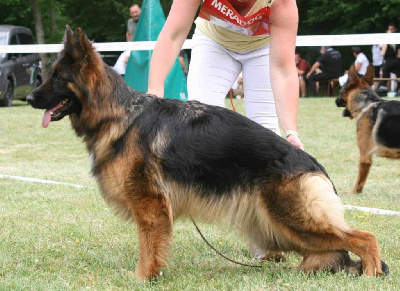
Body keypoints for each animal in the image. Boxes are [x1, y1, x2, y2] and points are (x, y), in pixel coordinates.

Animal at [25, 26, 388, 280]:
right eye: (48, 76)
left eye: (57, 78)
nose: (28, 98)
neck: (118, 114)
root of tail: (312, 164)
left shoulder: (149, 205)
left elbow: (148, 248)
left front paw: (143, 278)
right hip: (281, 227)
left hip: (291, 220)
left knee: (366, 238)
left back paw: (371, 274)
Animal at [336, 64, 398, 194]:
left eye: (340, 91)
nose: (335, 101)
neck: (366, 104)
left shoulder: (364, 156)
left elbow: (360, 180)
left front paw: (353, 192)